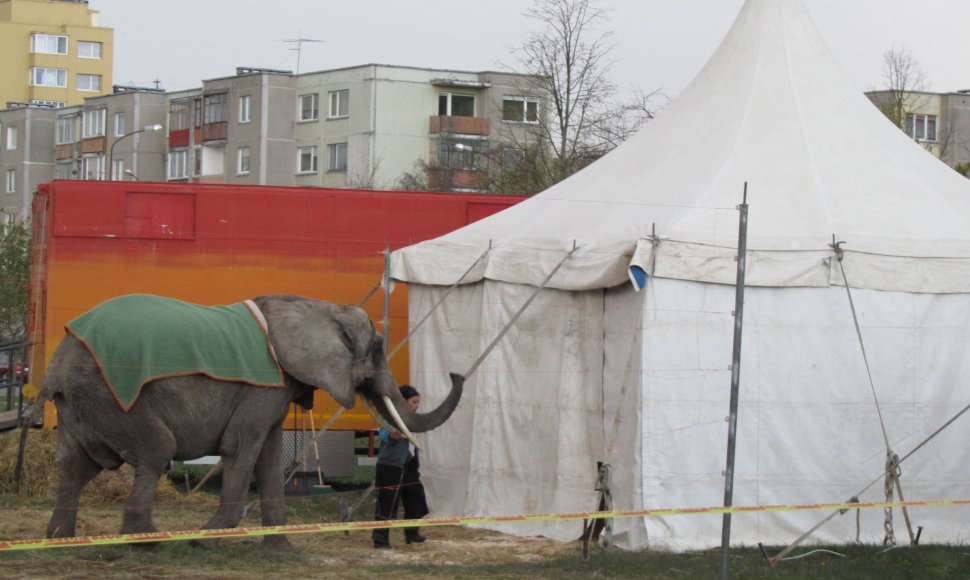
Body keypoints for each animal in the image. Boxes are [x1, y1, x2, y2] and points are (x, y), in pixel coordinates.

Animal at [28, 294, 464, 548]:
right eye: (375, 350)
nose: (456, 373)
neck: (319, 308)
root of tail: (60, 359)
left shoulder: (276, 389)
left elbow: (269, 457)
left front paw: (281, 547)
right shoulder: (262, 389)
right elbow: (244, 448)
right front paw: (207, 541)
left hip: (80, 404)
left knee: (74, 466)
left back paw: (58, 539)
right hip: (110, 396)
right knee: (155, 452)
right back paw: (145, 540)